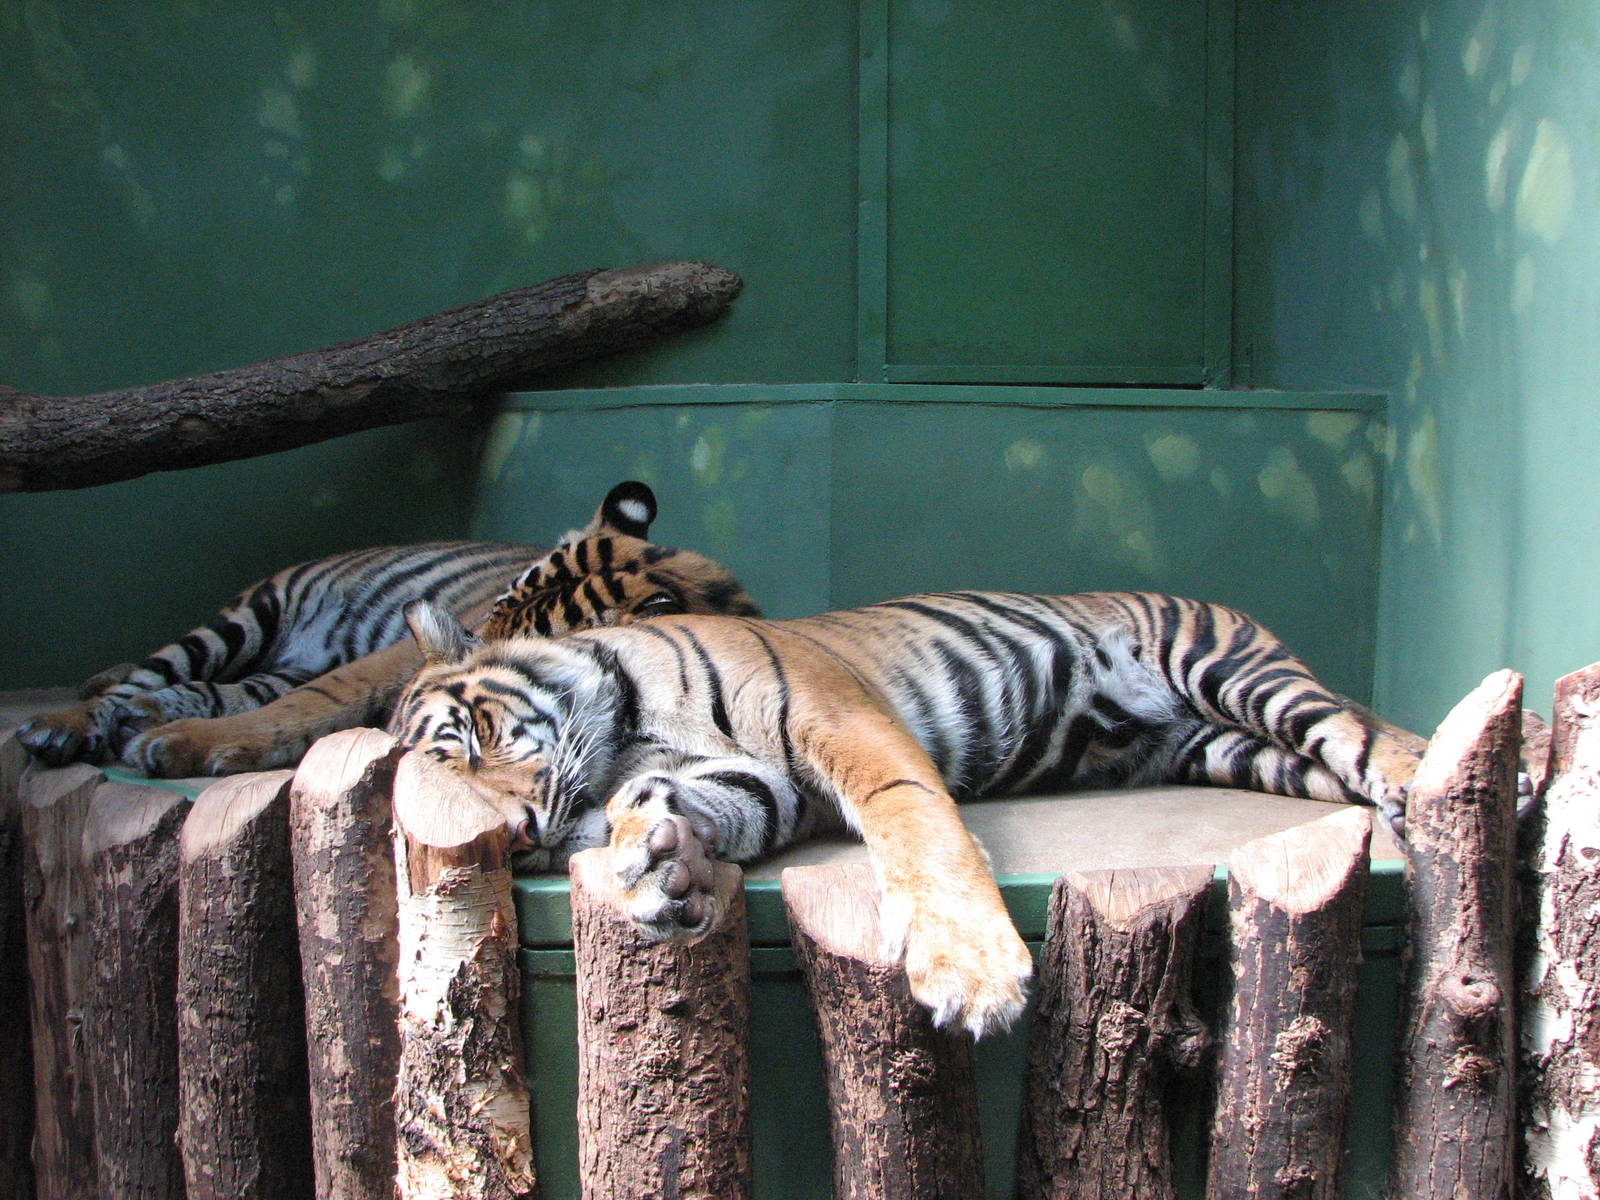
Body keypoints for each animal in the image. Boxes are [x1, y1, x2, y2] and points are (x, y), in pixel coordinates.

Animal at [17, 481, 759, 778]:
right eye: (491, 615)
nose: (454, 656)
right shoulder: (397, 655)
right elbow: (308, 709)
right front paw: (185, 746)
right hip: (248, 618)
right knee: (157, 671)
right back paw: (66, 725)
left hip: (268, 665)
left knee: (214, 690)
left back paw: (144, 717)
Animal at [391, 588, 1426, 1039]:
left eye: (476, 737)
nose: (519, 837)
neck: (625, 730)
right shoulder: (768, 787)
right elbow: (702, 801)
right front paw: (662, 858)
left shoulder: (842, 721)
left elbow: (913, 824)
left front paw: (972, 975)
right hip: (1231, 749)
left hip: (1233, 670)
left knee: (1362, 729)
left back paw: (1428, 778)